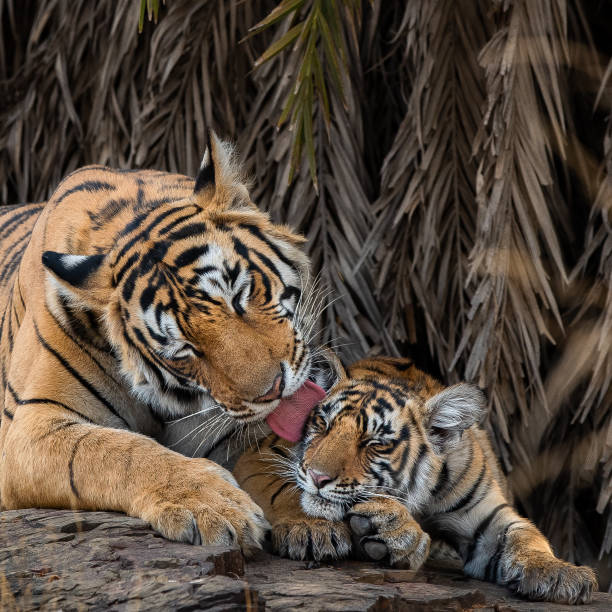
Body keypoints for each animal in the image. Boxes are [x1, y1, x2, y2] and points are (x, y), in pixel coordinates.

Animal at [0, 134, 314, 556]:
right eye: (184, 351)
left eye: (239, 295)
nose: (273, 391)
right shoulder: (30, 427)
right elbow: (118, 452)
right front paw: (211, 504)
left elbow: (272, 461)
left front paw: (315, 520)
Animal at [234, 356, 596, 604]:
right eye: (322, 424)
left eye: (375, 443)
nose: (317, 476)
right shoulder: (260, 455)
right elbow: (284, 491)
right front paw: (312, 529)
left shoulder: (488, 516)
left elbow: (526, 536)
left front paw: (559, 572)